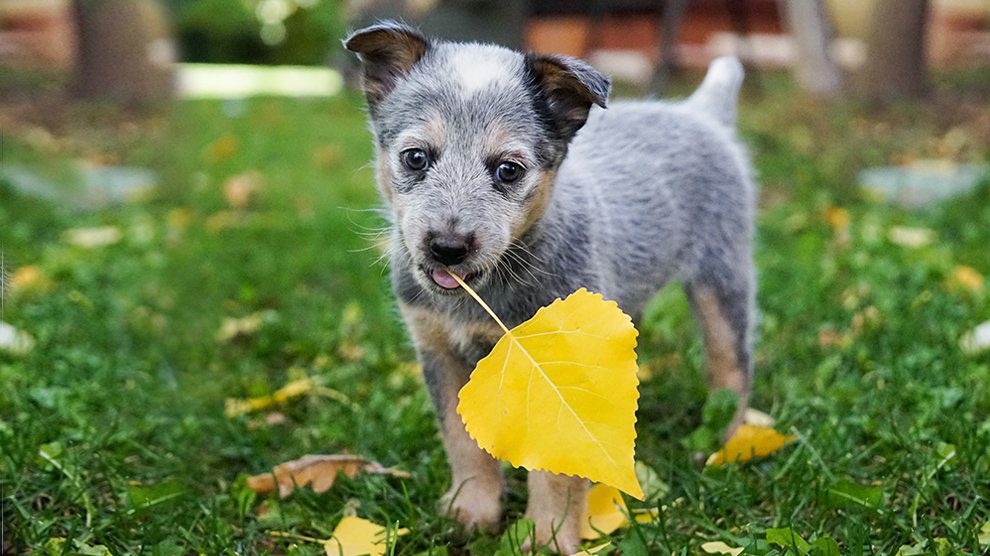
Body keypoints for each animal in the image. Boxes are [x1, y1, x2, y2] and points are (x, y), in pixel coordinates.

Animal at [344, 20, 756, 552]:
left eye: (508, 169)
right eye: (416, 158)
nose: (447, 248)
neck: (489, 296)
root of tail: (699, 111)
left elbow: (558, 471)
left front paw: (548, 537)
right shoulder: (439, 350)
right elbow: (461, 441)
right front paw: (472, 509)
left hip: (721, 277)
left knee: (732, 366)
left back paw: (725, 446)